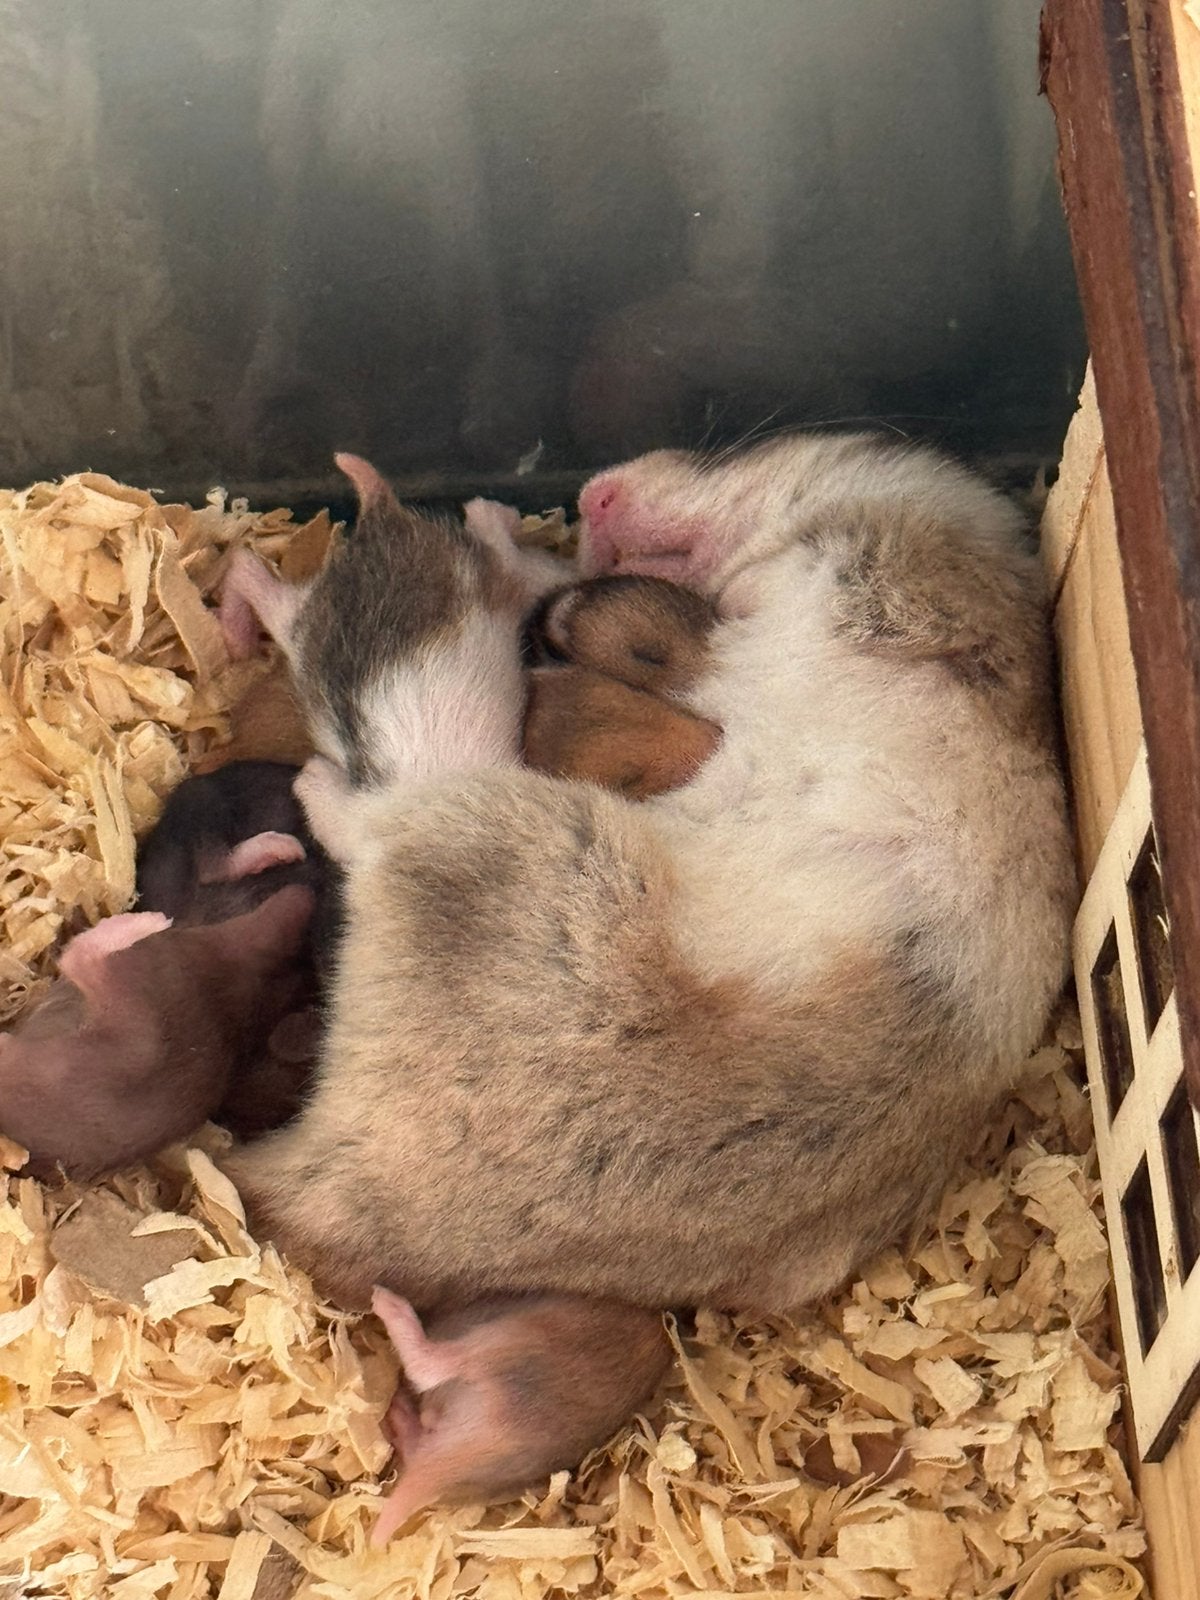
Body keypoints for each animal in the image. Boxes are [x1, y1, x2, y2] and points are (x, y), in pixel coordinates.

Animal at [220, 436, 1074, 1323]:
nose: (594, 495)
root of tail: (315, 1177)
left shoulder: (853, 593)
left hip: (494, 830)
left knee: (369, 816)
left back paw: (323, 763)